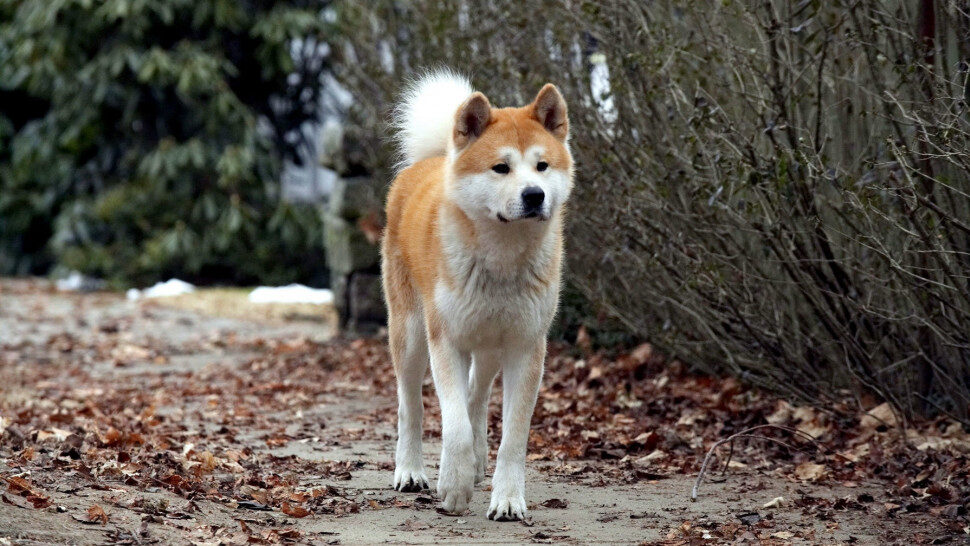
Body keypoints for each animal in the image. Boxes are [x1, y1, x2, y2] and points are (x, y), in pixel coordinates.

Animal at [378, 70, 572, 516]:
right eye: (501, 167)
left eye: (542, 166)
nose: (534, 194)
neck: (501, 259)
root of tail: (432, 160)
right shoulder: (445, 341)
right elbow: (454, 426)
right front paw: (453, 485)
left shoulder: (526, 347)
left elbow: (513, 436)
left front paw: (507, 498)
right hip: (411, 335)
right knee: (410, 405)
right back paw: (410, 471)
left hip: (488, 346)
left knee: (477, 396)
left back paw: (479, 463)